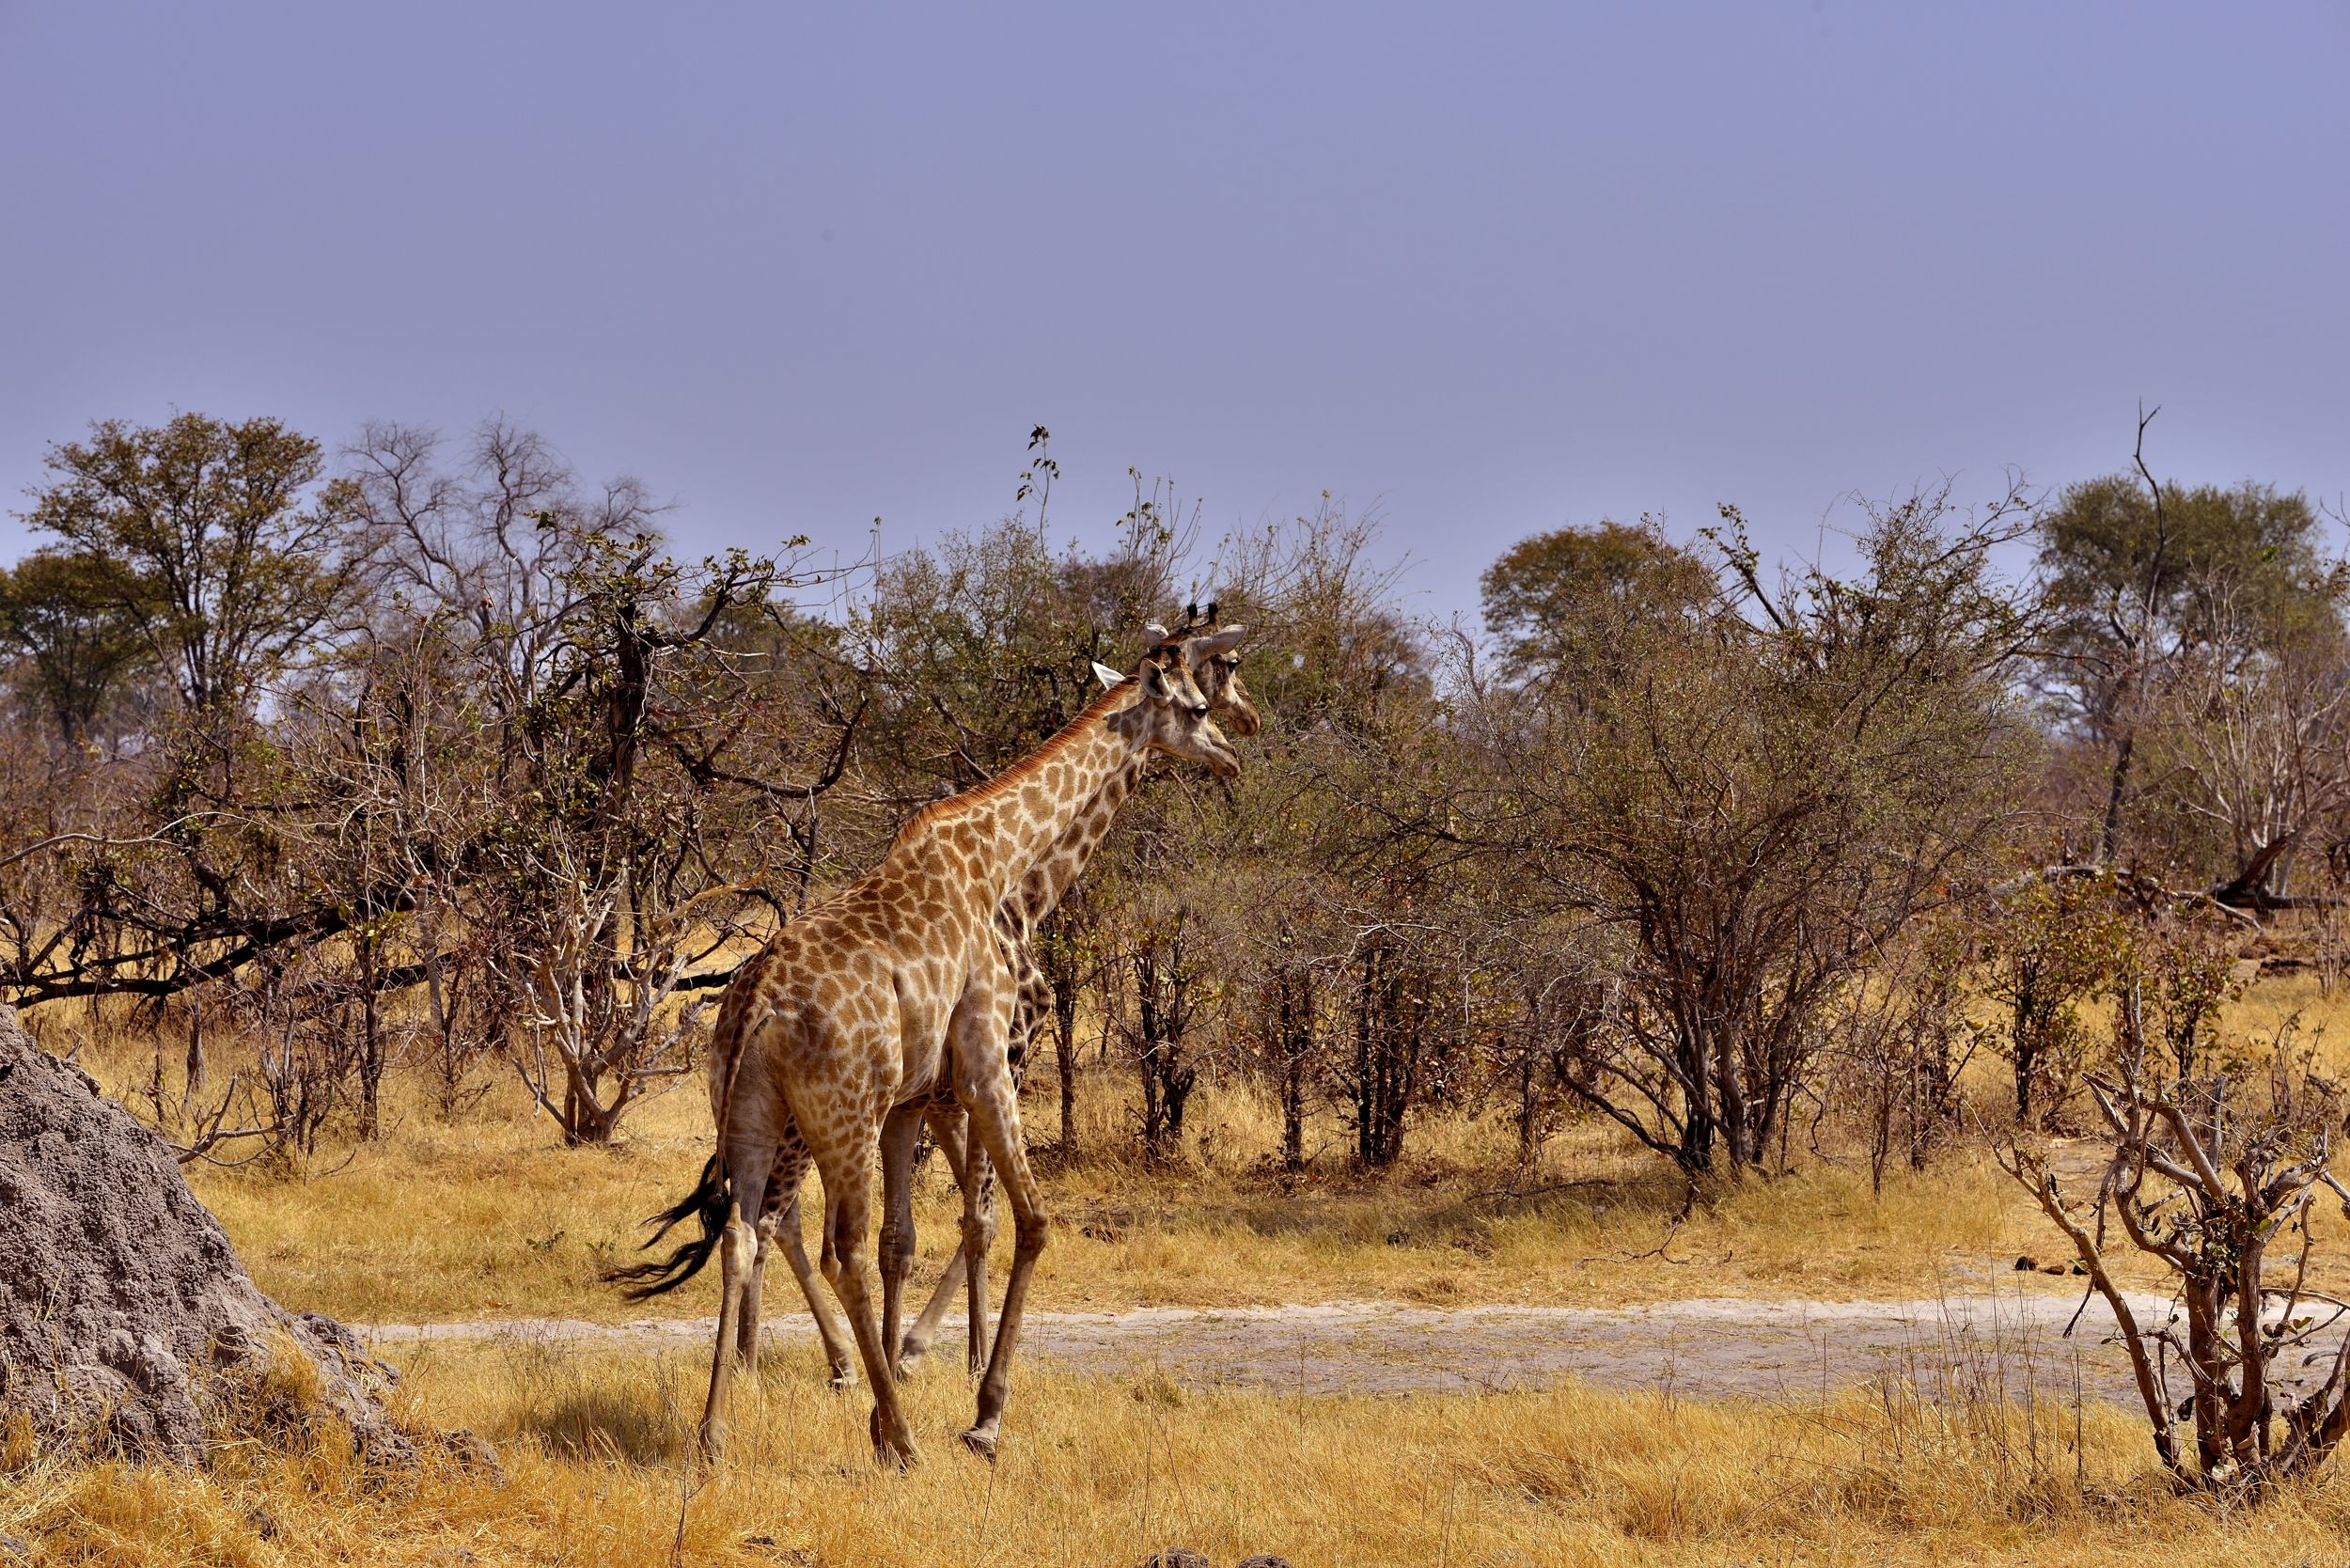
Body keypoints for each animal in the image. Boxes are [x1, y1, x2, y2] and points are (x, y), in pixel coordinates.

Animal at [609, 630, 1247, 1466]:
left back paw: (716, 1432)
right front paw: (983, 1416)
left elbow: (905, 1239)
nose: (1231, 757)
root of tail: (755, 1005)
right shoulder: (986, 1066)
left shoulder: (912, 1099)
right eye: (1200, 705)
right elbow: (1025, 1221)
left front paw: (906, 1393)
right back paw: (901, 1437)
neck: (1005, 870)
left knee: (745, 1234)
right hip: (841, 1117)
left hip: (748, 1112)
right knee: (835, 1246)